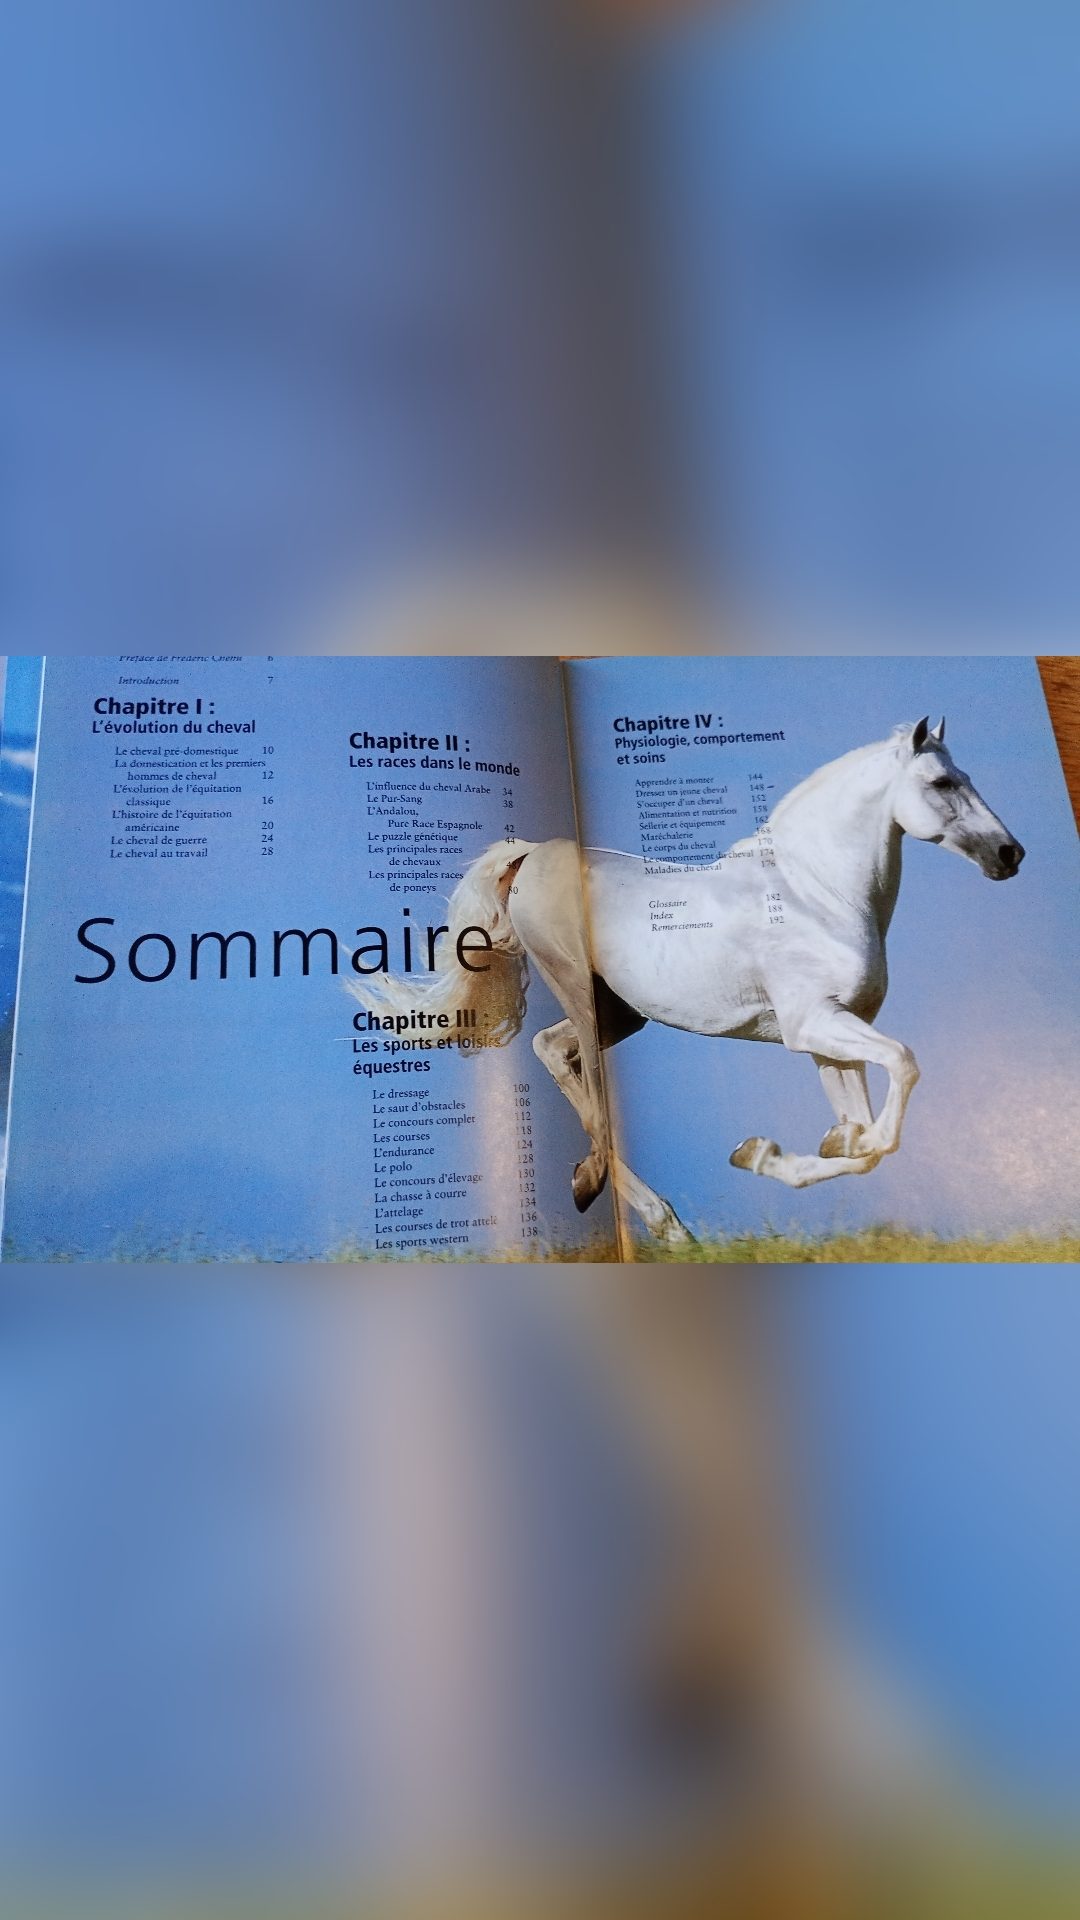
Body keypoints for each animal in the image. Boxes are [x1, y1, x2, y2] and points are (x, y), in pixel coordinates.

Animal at [349, 717, 1024, 1246]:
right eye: (943, 783)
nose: (1009, 854)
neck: (815, 896)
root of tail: (529, 854)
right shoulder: (815, 1024)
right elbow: (903, 1070)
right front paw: (786, 1149)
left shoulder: (831, 1038)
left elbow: (865, 1148)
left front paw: (781, 1151)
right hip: (581, 994)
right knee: (587, 1089)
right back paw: (599, 1188)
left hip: (621, 1013)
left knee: (551, 1049)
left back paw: (660, 1221)